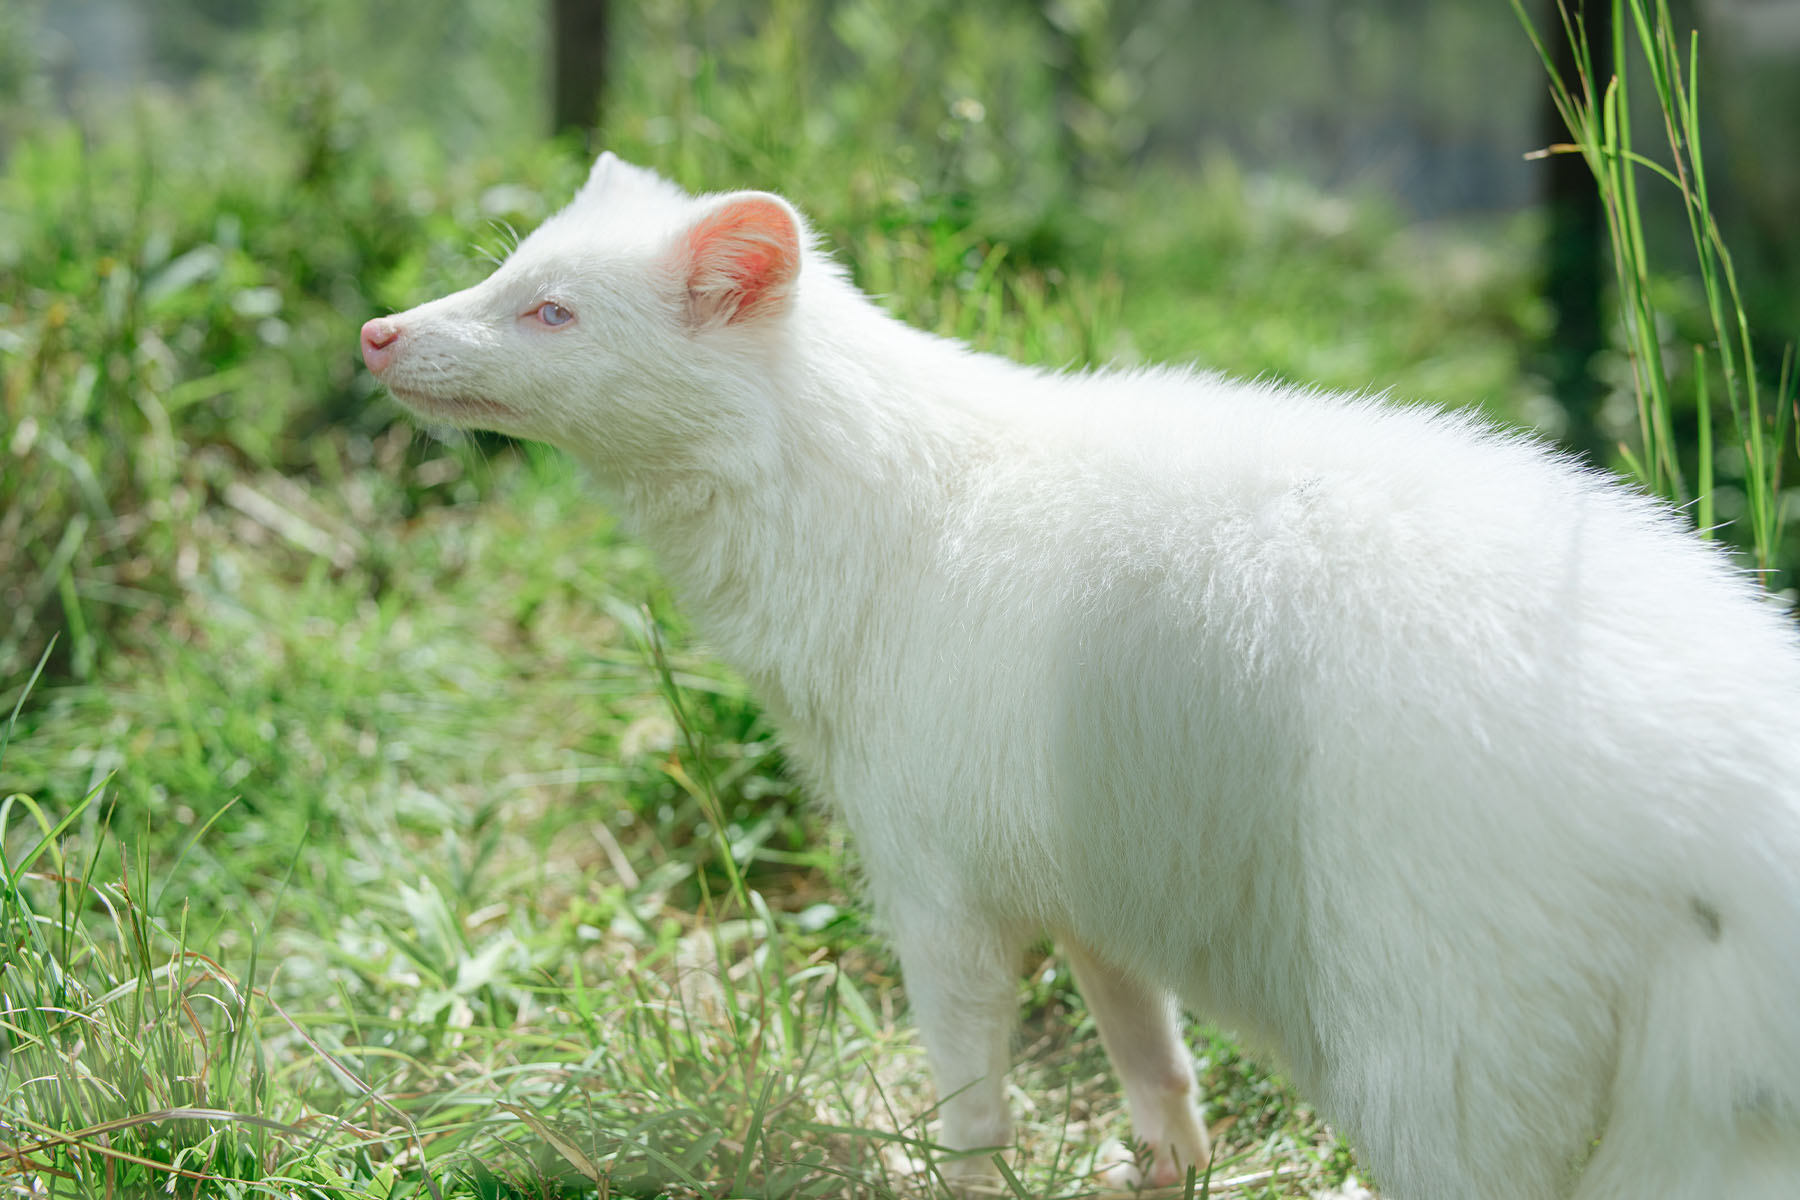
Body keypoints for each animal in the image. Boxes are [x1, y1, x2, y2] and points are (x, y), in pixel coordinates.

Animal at [361, 157, 1800, 1200]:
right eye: (506, 267)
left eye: (552, 311)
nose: (374, 334)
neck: (891, 517)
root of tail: (1734, 796)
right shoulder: (1094, 874)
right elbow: (1147, 1049)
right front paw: (1169, 1171)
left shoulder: (935, 884)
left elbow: (971, 1106)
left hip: (1451, 1073)